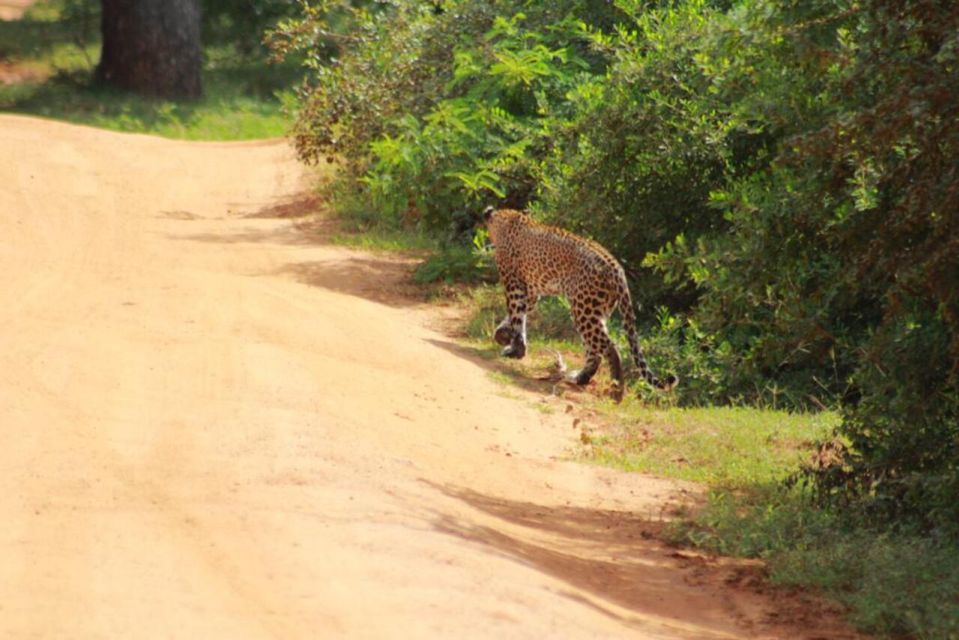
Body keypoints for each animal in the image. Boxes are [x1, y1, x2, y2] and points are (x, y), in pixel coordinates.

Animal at [484, 208, 680, 402]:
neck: (502, 218)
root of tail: (616, 268)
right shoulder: (531, 291)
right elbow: (518, 316)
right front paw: (503, 334)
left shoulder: (514, 283)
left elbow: (516, 314)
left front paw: (515, 349)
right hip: (595, 311)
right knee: (595, 351)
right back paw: (580, 378)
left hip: (583, 310)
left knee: (610, 347)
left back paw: (616, 391)